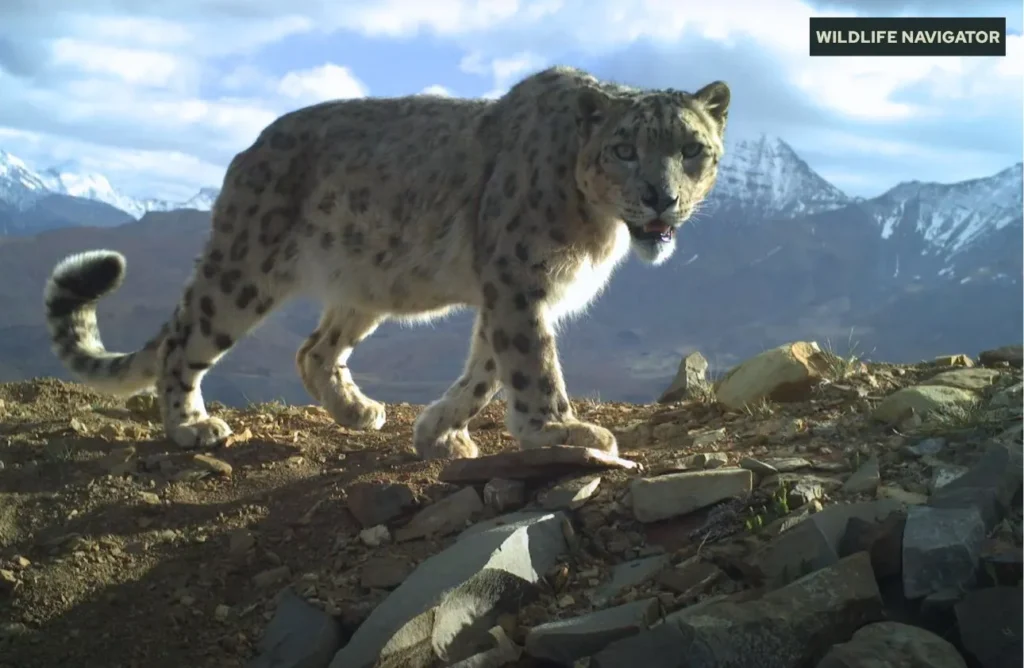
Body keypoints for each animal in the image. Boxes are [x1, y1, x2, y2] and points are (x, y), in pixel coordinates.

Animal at [42, 65, 730, 460]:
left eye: (692, 149)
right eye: (623, 149)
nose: (661, 197)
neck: (598, 226)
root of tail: (246, 152)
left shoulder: (510, 291)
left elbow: (485, 369)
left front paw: (439, 432)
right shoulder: (519, 279)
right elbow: (532, 363)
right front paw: (561, 431)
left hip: (366, 284)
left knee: (314, 349)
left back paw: (359, 410)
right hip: (244, 269)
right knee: (185, 340)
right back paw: (191, 425)